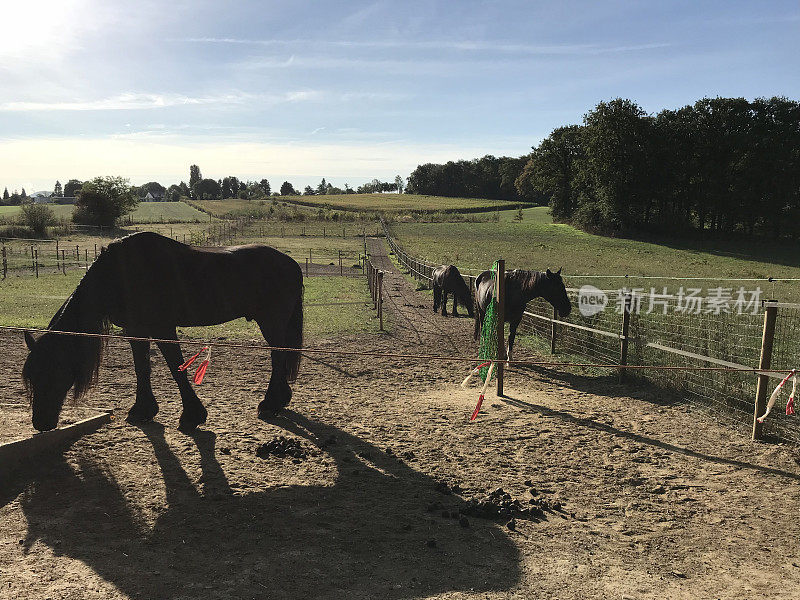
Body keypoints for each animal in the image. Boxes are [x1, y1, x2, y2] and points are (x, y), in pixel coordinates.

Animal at [21, 232, 304, 434]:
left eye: (52, 372)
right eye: (32, 376)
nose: (40, 424)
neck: (118, 274)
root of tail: (291, 264)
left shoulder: (162, 327)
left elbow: (176, 367)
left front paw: (192, 416)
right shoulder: (135, 330)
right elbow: (142, 368)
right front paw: (142, 410)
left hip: (271, 322)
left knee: (278, 356)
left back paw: (270, 403)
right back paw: (280, 400)